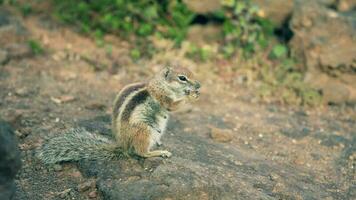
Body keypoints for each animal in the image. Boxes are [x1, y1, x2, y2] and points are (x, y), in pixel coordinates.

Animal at [38, 65, 202, 164]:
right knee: (141, 152)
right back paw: (160, 152)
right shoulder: (163, 97)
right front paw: (190, 96)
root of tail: (123, 145)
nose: (199, 85)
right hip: (144, 130)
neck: (161, 84)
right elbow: (174, 105)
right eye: (182, 77)